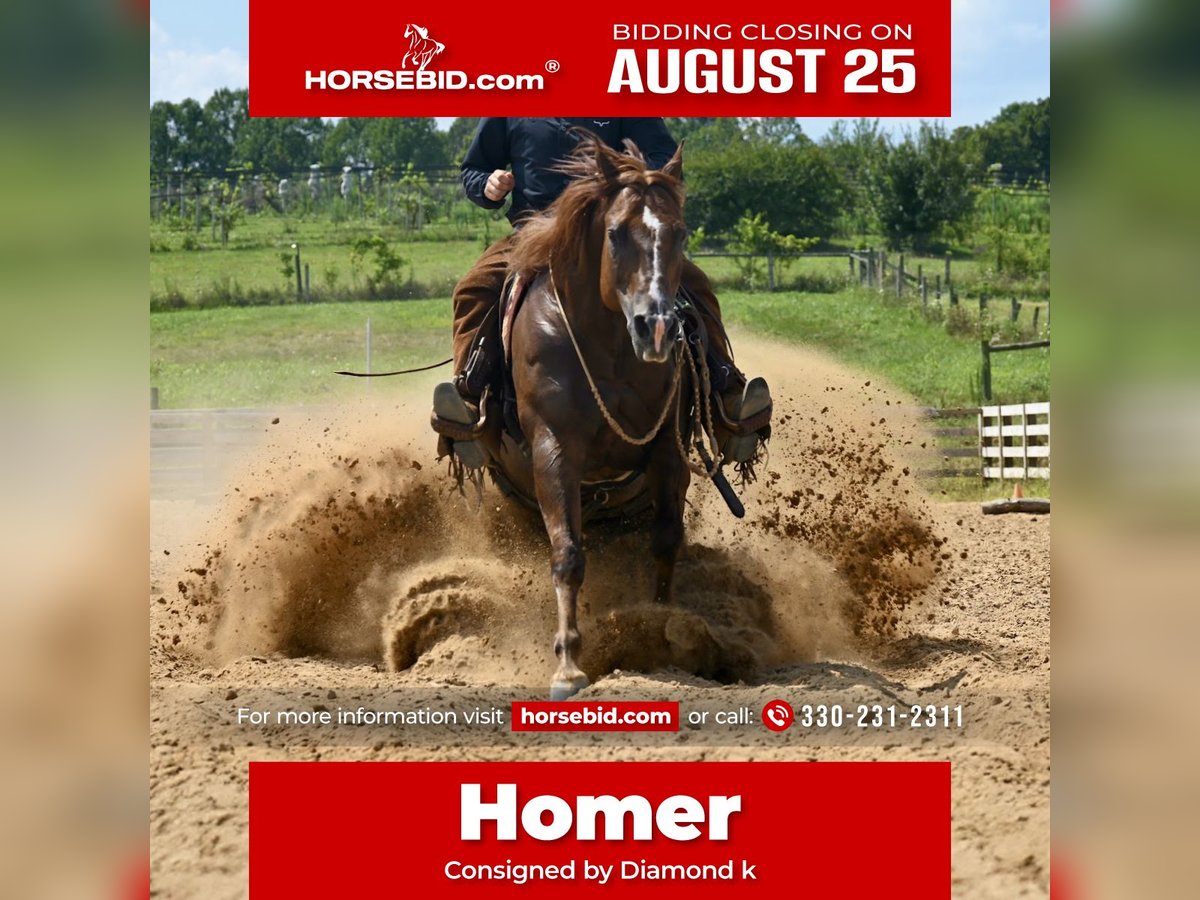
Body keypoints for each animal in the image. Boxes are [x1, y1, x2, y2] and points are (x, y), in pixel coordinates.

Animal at [483, 136, 695, 699]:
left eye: (681, 232)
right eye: (617, 233)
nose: (657, 328)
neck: (607, 348)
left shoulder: (669, 451)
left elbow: (666, 540)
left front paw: (661, 631)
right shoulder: (554, 451)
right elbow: (568, 556)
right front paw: (568, 666)